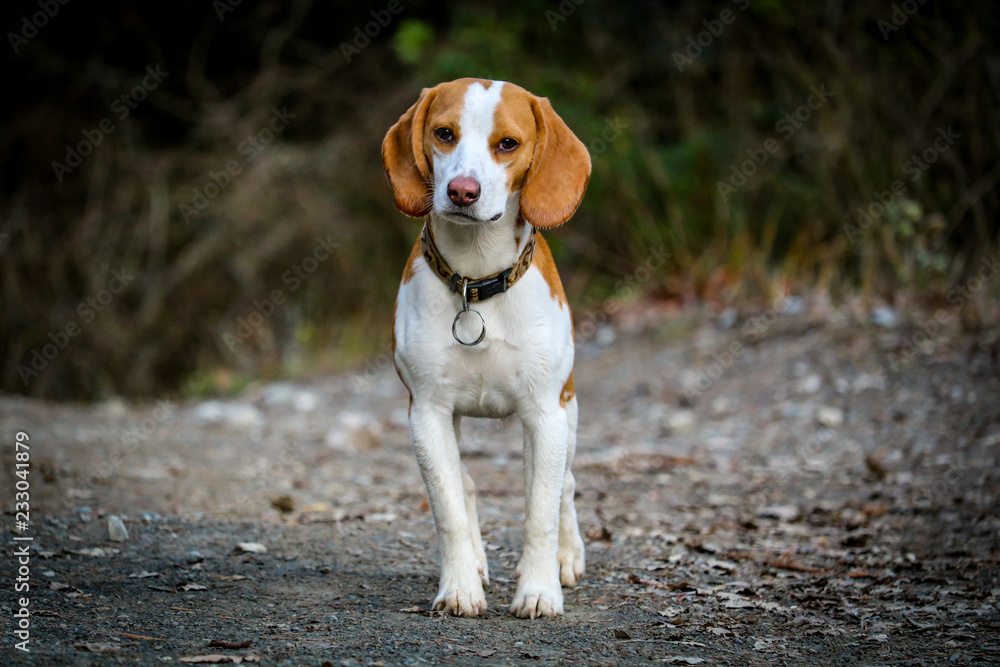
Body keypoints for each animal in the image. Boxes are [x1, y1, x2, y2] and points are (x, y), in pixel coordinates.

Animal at [380, 78, 584, 620]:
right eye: (444, 134)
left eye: (507, 144)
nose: (462, 191)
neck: (476, 279)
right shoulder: (427, 413)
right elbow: (449, 506)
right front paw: (459, 587)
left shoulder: (546, 414)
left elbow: (540, 510)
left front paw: (539, 590)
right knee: (467, 485)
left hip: (569, 411)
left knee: (565, 486)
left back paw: (567, 556)